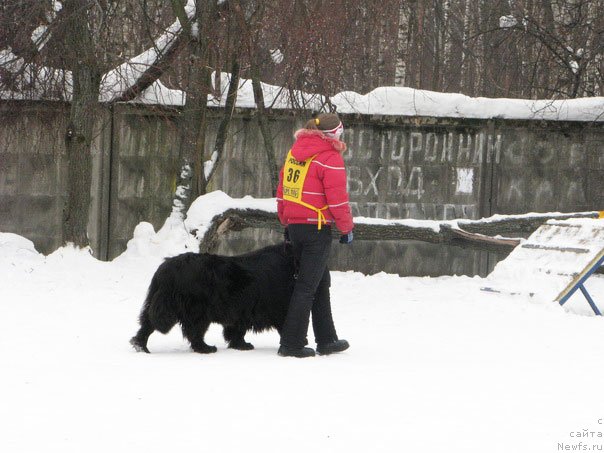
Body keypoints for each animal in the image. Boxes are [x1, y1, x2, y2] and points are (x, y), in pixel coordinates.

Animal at [131, 244, 296, 354]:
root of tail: (165, 270)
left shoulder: (241, 310)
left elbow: (238, 330)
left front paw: (240, 345)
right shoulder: (280, 307)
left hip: (158, 301)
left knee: (147, 323)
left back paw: (141, 346)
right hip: (196, 309)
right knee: (195, 331)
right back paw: (206, 348)